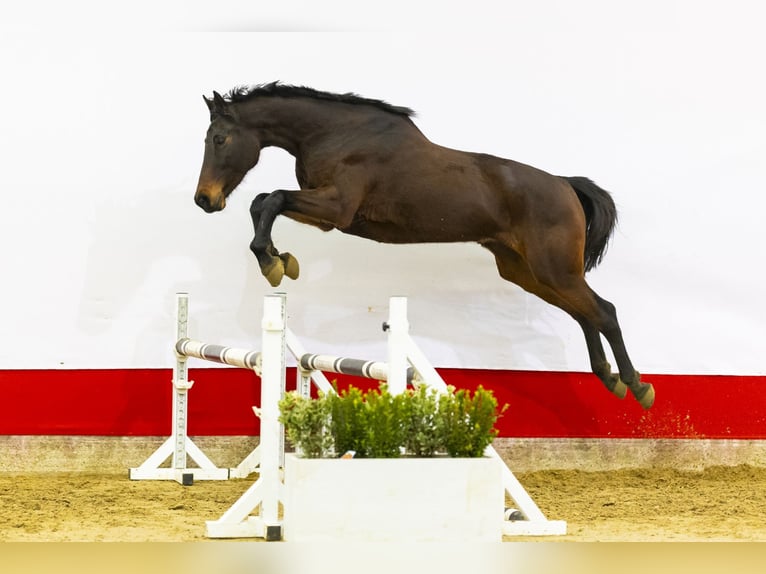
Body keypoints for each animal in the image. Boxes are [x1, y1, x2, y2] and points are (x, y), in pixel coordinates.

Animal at [195, 83, 656, 412]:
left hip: (553, 270)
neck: (336, 134)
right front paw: (280, 260)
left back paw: (637, 386)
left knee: (603, 311)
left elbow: (271, 198)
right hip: (527, 272)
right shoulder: (326, 216)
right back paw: (610, 379)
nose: (205, 200)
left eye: (219, 139)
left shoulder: (336, 209)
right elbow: (263, 201)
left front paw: (272, 262)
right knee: (584, 314)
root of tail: (565, 184)